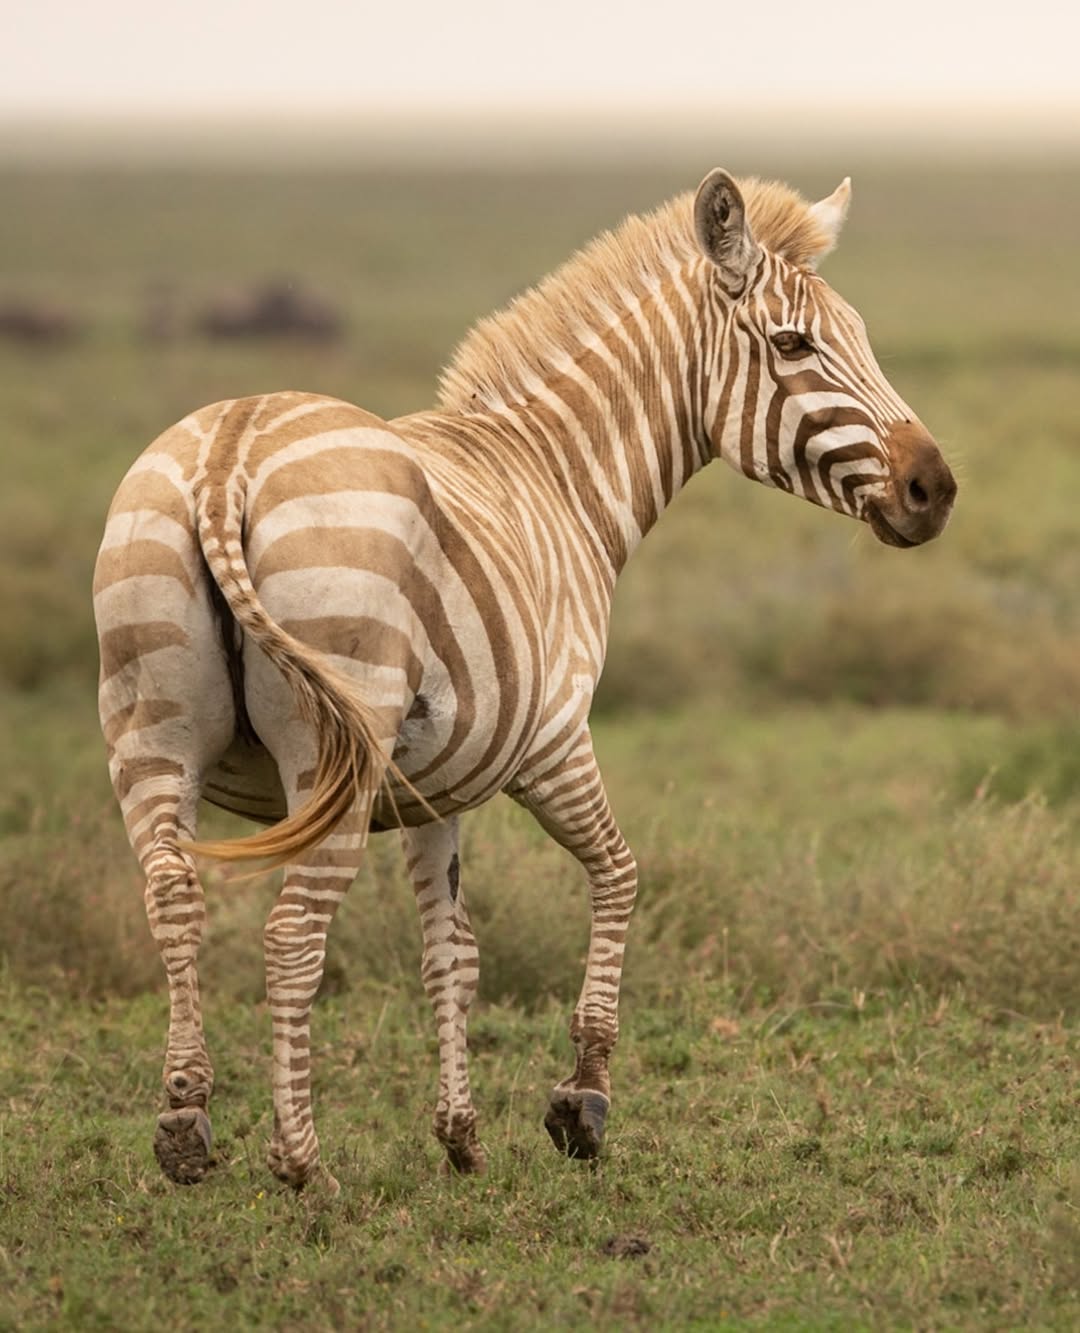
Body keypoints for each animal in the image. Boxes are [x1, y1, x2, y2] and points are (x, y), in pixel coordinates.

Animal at [93, 168, 956, 1191]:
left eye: (859, 335)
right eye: (793, 344)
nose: (936, 490)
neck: (559, 475)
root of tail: (228, 449)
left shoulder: (433, 786)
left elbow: (453, 951)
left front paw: (460, 1134)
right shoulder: (552, 741)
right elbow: (620, 874)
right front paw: (581, 1101)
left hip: (150, 734)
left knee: (173, 899)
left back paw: (184, 1122)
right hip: (328, 756)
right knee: (293, 936)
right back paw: (304, 1165)